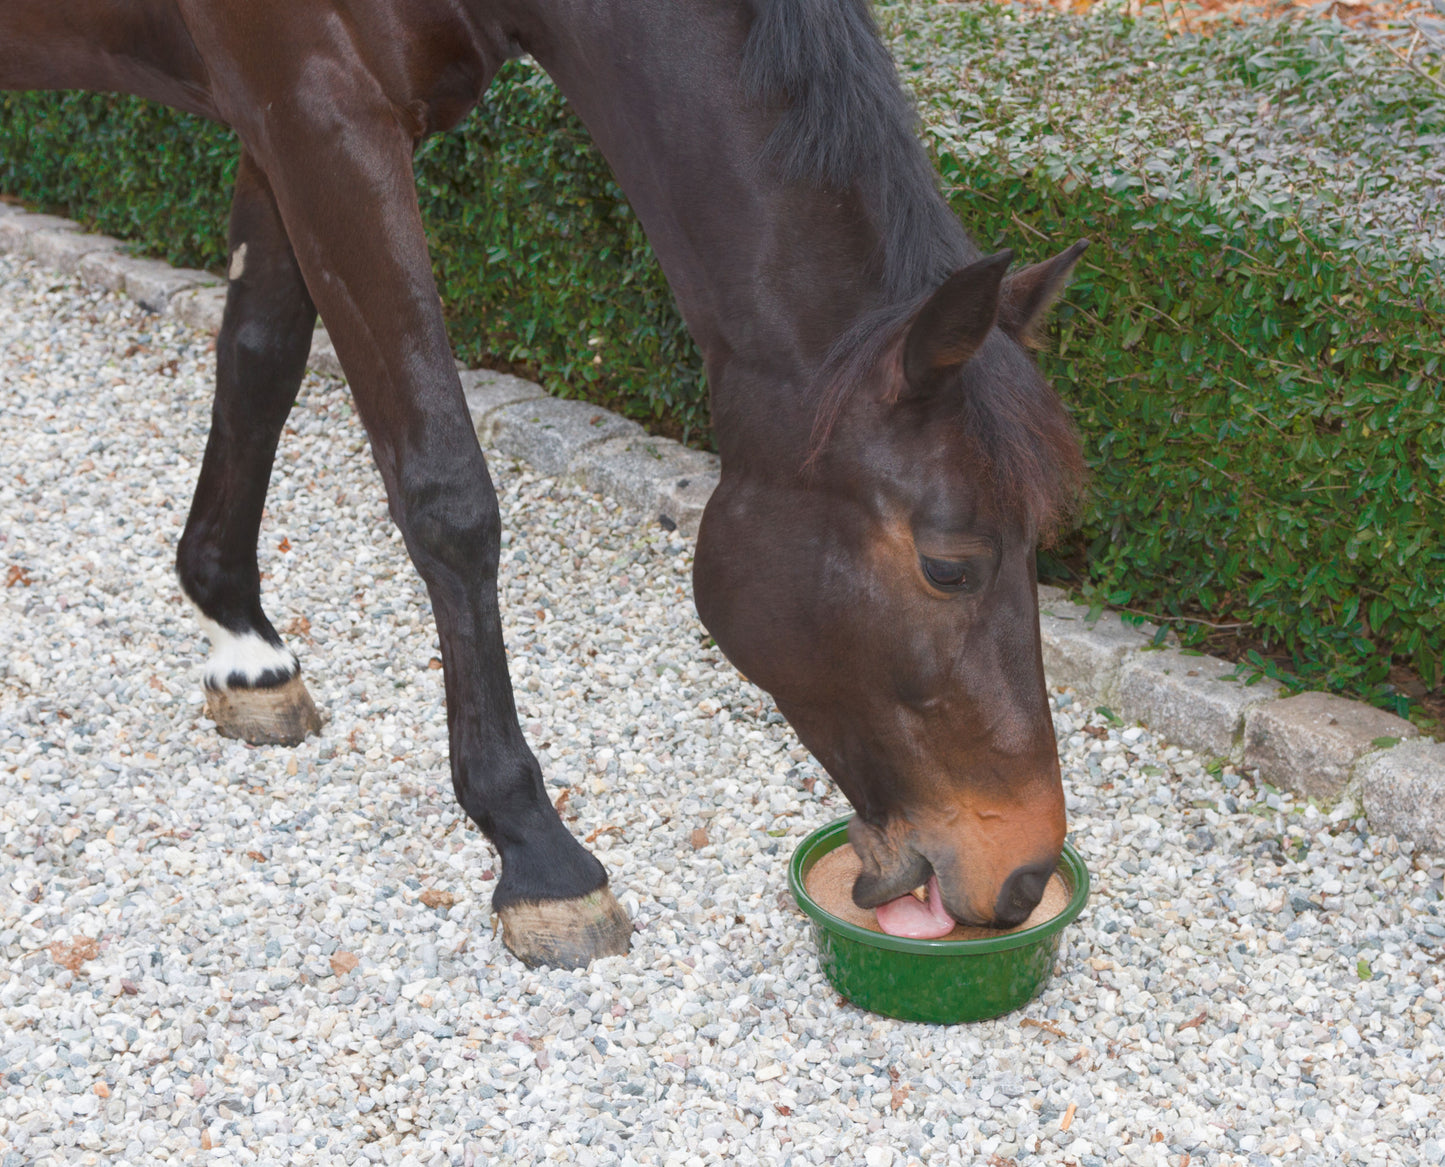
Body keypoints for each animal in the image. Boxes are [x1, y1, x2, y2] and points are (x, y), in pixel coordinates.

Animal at [0, 0, 1086, 964]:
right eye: (947, 566)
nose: (1023, 870)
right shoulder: (322, 118)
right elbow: (446, 493)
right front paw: (536, 850)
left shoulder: (278, 130)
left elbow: (259, 360)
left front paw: (240, 640)